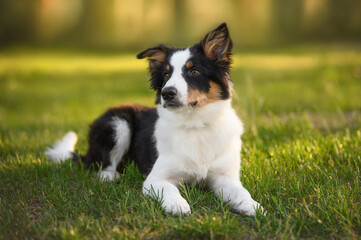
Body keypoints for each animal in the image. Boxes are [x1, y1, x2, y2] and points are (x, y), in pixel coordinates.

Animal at [47, 23, 262, 217]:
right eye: (166, 74)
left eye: (194, 71)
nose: (167, 93)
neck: (195, 125)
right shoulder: (155, 179)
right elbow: (170, 189)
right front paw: (177, 205)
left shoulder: (225, 177)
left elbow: (241, 191)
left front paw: (252, 205)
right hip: (118, 123)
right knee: (99, 164)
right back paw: (109, 175)